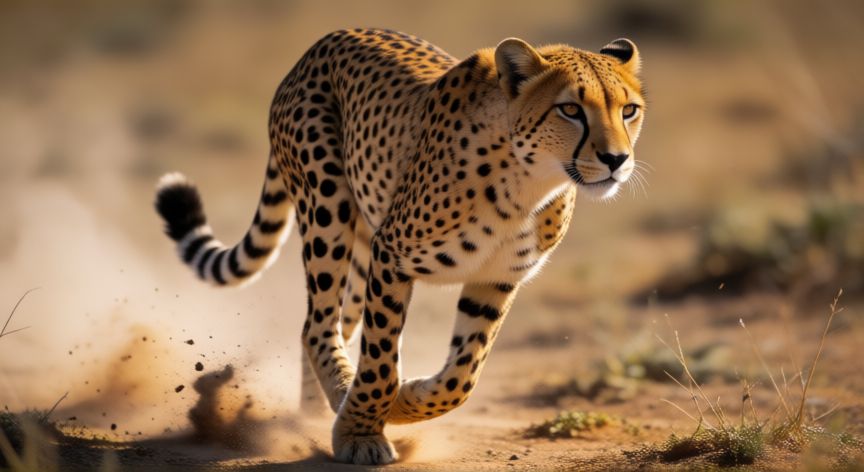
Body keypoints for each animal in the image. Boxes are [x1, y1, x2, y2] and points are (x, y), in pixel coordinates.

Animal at [154, 28, 645, 465]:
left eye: (629, 110)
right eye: (570, 109)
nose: (616, 160)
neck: (529, 182)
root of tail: (324, 42)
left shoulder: (496, 278)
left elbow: (463, 376)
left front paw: (403, 403)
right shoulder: (392, 258)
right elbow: (381, 361)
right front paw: (363, 432)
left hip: (359, 246)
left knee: (332, 325)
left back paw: (316, 411)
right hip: (327, 207)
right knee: (317, 325)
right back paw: (338, 399)